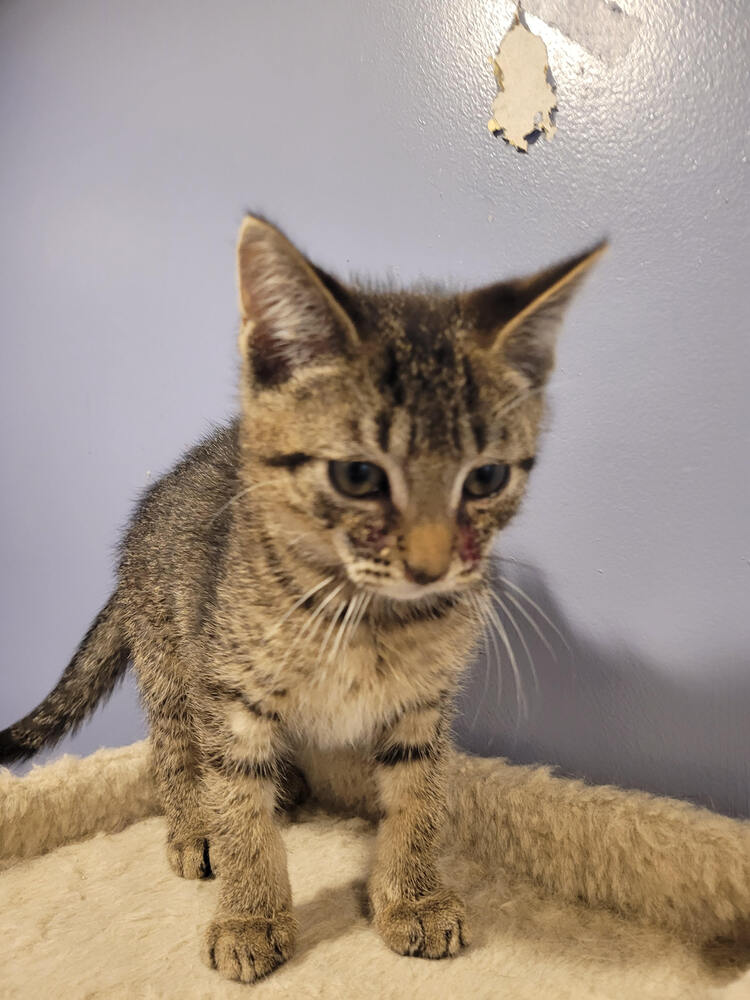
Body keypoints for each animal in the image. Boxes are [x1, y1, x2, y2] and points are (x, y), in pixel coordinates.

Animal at [0, 219, 604, 984]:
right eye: (358, 476)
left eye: (486, 478)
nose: (433, 564)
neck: (367, 614)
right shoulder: (230, 698)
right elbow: (239, 808)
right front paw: (250, 913)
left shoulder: (422, 706)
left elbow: (419, 800)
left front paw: (412, 897)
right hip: (172, 659)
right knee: (175, 749)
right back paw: (193, 826)